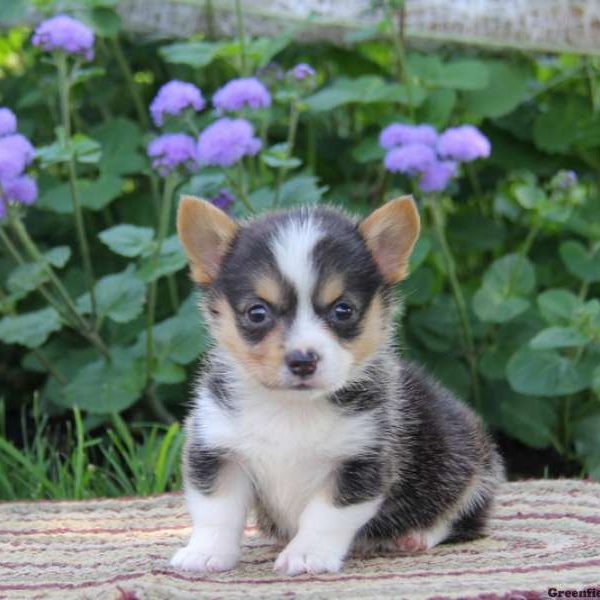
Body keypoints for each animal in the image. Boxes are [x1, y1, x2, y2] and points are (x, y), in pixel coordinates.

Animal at [171, 195, 504, 576]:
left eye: (343, 310)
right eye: (257, 312)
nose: (303, 360)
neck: (291, 409)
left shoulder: (360, 462)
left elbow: (325, 516)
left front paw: (306, 555)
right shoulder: (218, 450)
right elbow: (216, 510)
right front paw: (205, 552)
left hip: (472, 466)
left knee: (460, 516)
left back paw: (415, 536)